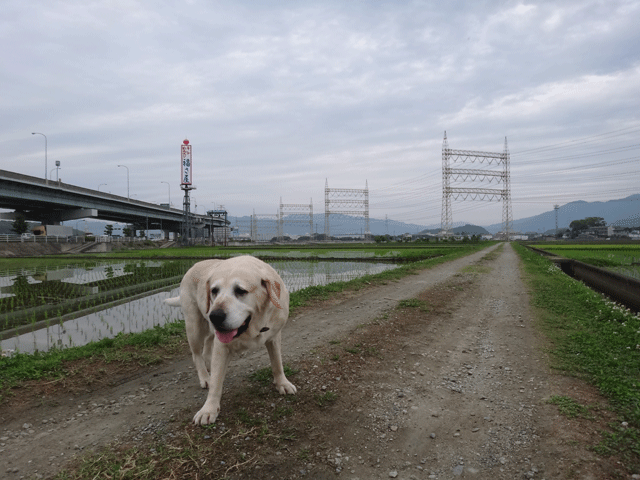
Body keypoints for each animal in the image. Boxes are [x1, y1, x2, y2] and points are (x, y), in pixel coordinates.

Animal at [165, 255, 296, 424]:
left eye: (240, 291)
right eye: (214, 291)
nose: (215, 316)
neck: (254, 326)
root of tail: (193, 266)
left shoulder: (274, 336)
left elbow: (277, 363)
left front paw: (282, 383)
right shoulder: (222, 346)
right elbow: (216, 382)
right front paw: (209, 409)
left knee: (208, 345)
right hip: (194, 326)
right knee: (197, 355)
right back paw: (205, 377)